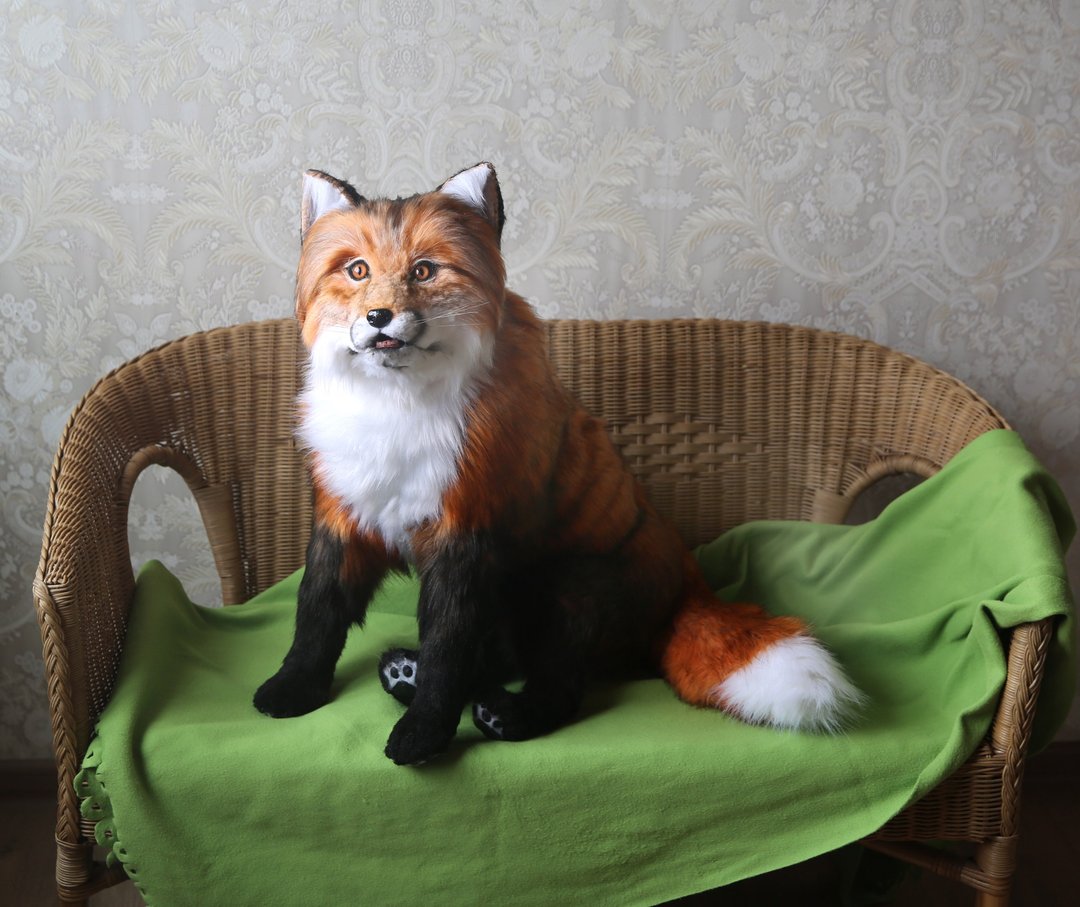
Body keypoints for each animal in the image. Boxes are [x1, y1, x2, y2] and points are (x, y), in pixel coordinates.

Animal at [253, 162, 862, 765]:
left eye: (424, 271)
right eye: (357, 270)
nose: (380, 316)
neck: (395, 410)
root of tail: (689, 584)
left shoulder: (465, 535)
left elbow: (447, 650)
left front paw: (425, 732)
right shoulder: (345, 515)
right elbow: (316, 618)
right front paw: (295, 688)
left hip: (562, 592)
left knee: (561, 686)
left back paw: (505, 713)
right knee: (501, 659)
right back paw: (407, 673)